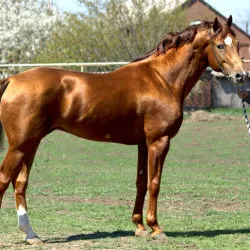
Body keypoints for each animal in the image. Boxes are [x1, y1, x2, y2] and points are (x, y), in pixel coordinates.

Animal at [0, 16, 246, 244]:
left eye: (237, 43)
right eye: (220, 45)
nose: (241, 75)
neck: (162, 79)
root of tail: (13, 79)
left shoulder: (143, 144)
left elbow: (141, 183)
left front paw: (139, 226)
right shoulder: (159, 141)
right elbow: (154, 183)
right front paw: (156, 228)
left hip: (32, 144)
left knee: (19, 183)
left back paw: (32, 235)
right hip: (20, 146)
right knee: (4, 179)